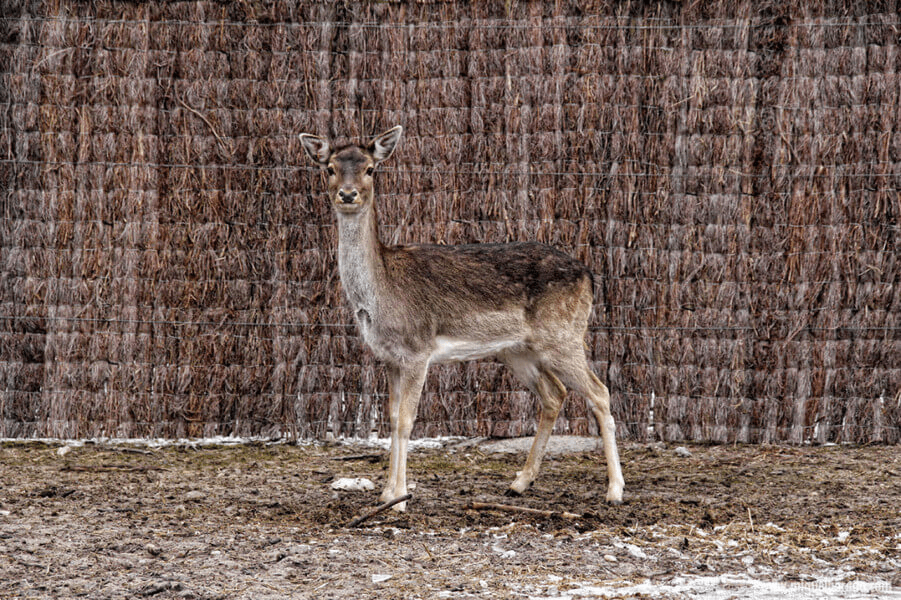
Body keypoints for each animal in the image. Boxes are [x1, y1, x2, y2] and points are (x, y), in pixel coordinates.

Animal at [298, 126, 624, 510]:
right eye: (330, 168)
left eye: (370, 169)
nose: (347, 194)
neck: (380, 294)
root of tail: (589, 275)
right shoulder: (389, 358)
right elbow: (391, 419)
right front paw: (386, 494)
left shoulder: (418, 349)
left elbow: (406, 421)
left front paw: (400, 498)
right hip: (517, 350)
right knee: (554, 394)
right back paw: (519, 482)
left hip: (563, 335)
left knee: (600, 392)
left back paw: (615, 490)